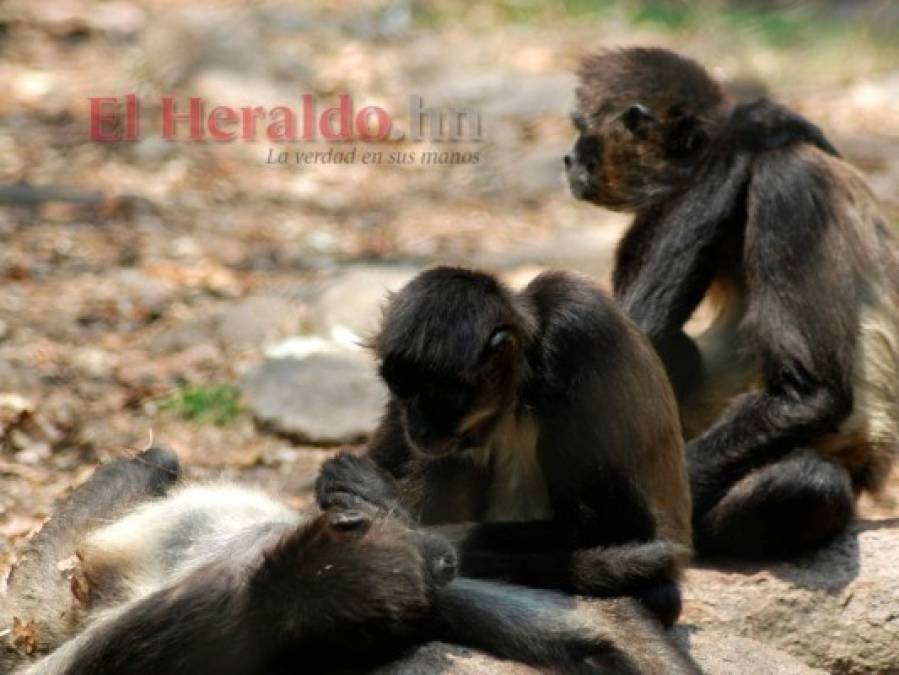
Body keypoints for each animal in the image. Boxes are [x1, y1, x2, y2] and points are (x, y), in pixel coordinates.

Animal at [318, 266, 696, 632]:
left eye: (441, 397)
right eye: (404, 391)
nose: (418, 427)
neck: (522, 388)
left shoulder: (578, 331)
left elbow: (610, 530)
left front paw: (380, 499)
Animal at [568, 46, 896, 560]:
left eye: (582, 129)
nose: (569, 158)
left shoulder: (787, 183)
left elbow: (810, 393)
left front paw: (749, 125)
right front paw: (754, 124)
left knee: (809, 482)